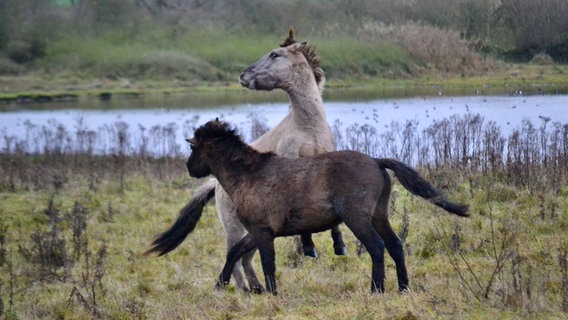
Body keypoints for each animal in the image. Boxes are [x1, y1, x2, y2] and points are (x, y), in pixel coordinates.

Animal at [186, 119, 470, 296]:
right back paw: (403, 288)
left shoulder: (263, 231)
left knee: (376, 247)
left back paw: (376, 290)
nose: (190, 168)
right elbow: (234, 252)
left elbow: (267, 263)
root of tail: (377, 161)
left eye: (193, 148)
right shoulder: (258, 232)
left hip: (357, 218)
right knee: (395, 245)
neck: (249, 175)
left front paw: (272, 294)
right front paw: (220, 285)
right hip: (379, 215)